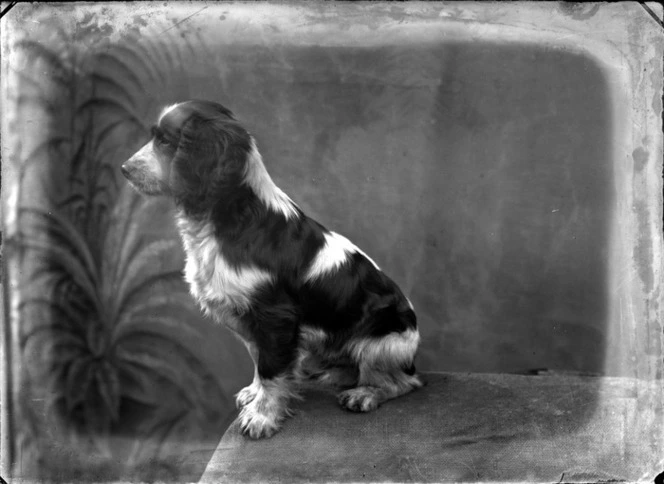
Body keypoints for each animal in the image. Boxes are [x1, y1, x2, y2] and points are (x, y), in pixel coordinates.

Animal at [122, 99, 422, 438]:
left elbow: (270, 368)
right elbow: (258, 358)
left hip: (382, 343)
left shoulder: (275, 317)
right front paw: (255, 395)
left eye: (164, 141)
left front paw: (262, 416)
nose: (124, 169)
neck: (234, 215)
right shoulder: (250, 317)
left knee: (403, 382)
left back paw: (365, 393)